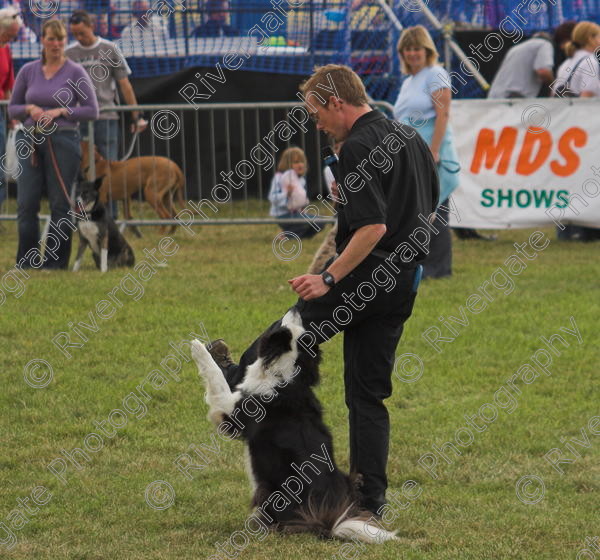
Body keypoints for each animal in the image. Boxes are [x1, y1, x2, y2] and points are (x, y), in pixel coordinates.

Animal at [192, 308, 398, 540]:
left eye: (289, 328)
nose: (296, 308)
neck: (286, 373)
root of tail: (325, 523)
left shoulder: (229, 412)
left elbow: (216, 378)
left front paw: (197, 348)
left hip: (271, 491)